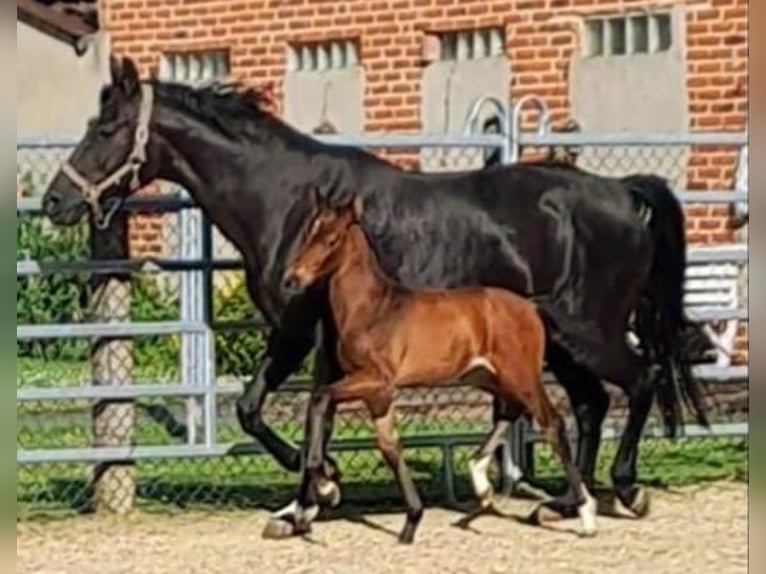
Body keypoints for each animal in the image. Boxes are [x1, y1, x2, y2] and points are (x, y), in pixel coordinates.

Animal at [284, 197, 600, 544]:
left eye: (331, 240)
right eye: (307, 234)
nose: (292, 278)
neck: (372, 309)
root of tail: (530, 306)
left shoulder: (376, 381)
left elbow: (320, 398)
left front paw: (326, 485)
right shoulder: (376, 394)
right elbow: (389, 447)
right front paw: (410, 522)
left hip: (521, 375)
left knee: (552, 424)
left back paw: (586, 516)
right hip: (486, 376)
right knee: (511, 410)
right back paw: (481, 485)